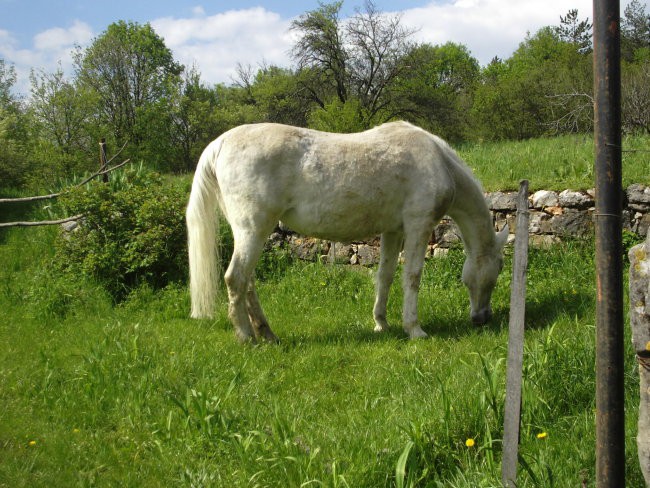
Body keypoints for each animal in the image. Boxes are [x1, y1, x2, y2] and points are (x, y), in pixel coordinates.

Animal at [185, 122, 508, 344]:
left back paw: (266, 334)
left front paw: (381, 323)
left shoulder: (393, 230)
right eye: (499, 269)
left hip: (248, 233)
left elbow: (385, 275)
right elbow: (413, 277)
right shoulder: (419, 224)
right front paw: (414, 329)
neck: (439, 161)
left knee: (247, 282)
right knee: (235, 279)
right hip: (253, 229)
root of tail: (220, 143)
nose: (483, 318)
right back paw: (246, 337)